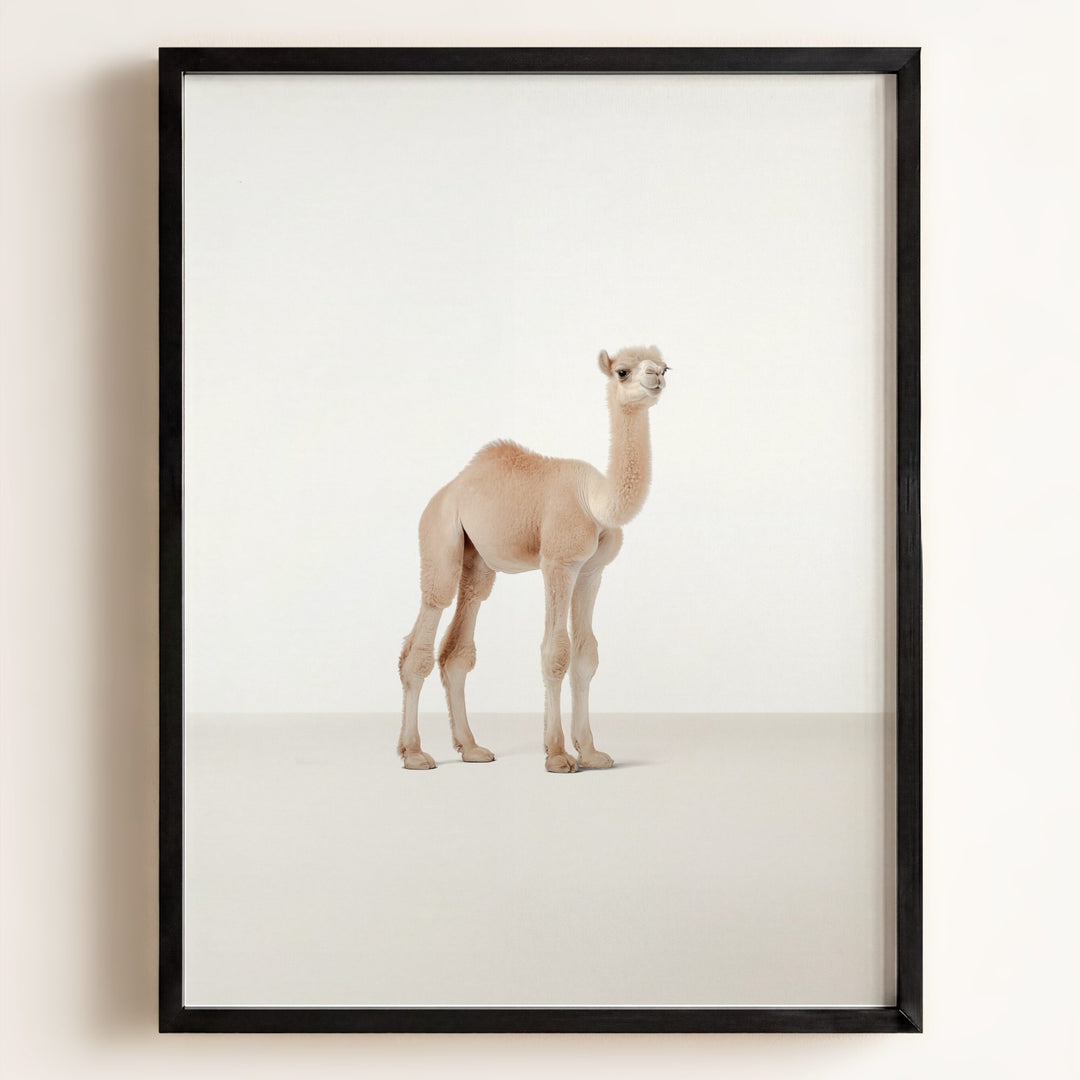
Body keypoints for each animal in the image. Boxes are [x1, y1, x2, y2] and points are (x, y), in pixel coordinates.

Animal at [397, 345, 668, 773]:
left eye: (665, 366)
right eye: (622, 371)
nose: (655, 376)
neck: (595, 501)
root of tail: (447, 490)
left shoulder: (591, 571)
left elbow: (586, 654)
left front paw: (591, 753)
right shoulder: (558, 561)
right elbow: (555, 651)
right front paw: (557, 755)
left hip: (478, 560)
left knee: (459, 643)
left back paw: (472, 748)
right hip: (438, 535)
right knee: (426, 626)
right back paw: (414, 753)